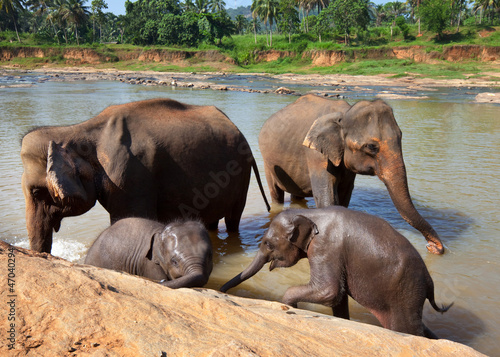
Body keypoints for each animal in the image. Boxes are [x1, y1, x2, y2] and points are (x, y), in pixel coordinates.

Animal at [20, 97, 270, 253]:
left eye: (36, 192)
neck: (77, 131)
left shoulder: (130, 176)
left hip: (241, 175)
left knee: (233, 219)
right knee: (211, 220)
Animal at [221, 206, 452, 336]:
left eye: (268, 244)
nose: (222, 290)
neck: (310, 213)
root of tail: (430, 281)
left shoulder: (326, 247)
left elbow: (329, 290)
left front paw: (289, 305)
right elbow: (338, 297)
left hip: (405, 293)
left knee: (407, 329)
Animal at [260, 93, 444, 252]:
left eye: (401, 136)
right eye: (372, 147)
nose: (433, 248)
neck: (345, 113)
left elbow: (344, 197)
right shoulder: (316, 155)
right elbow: (327, 199)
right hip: (268, 162)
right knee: (275, 192)